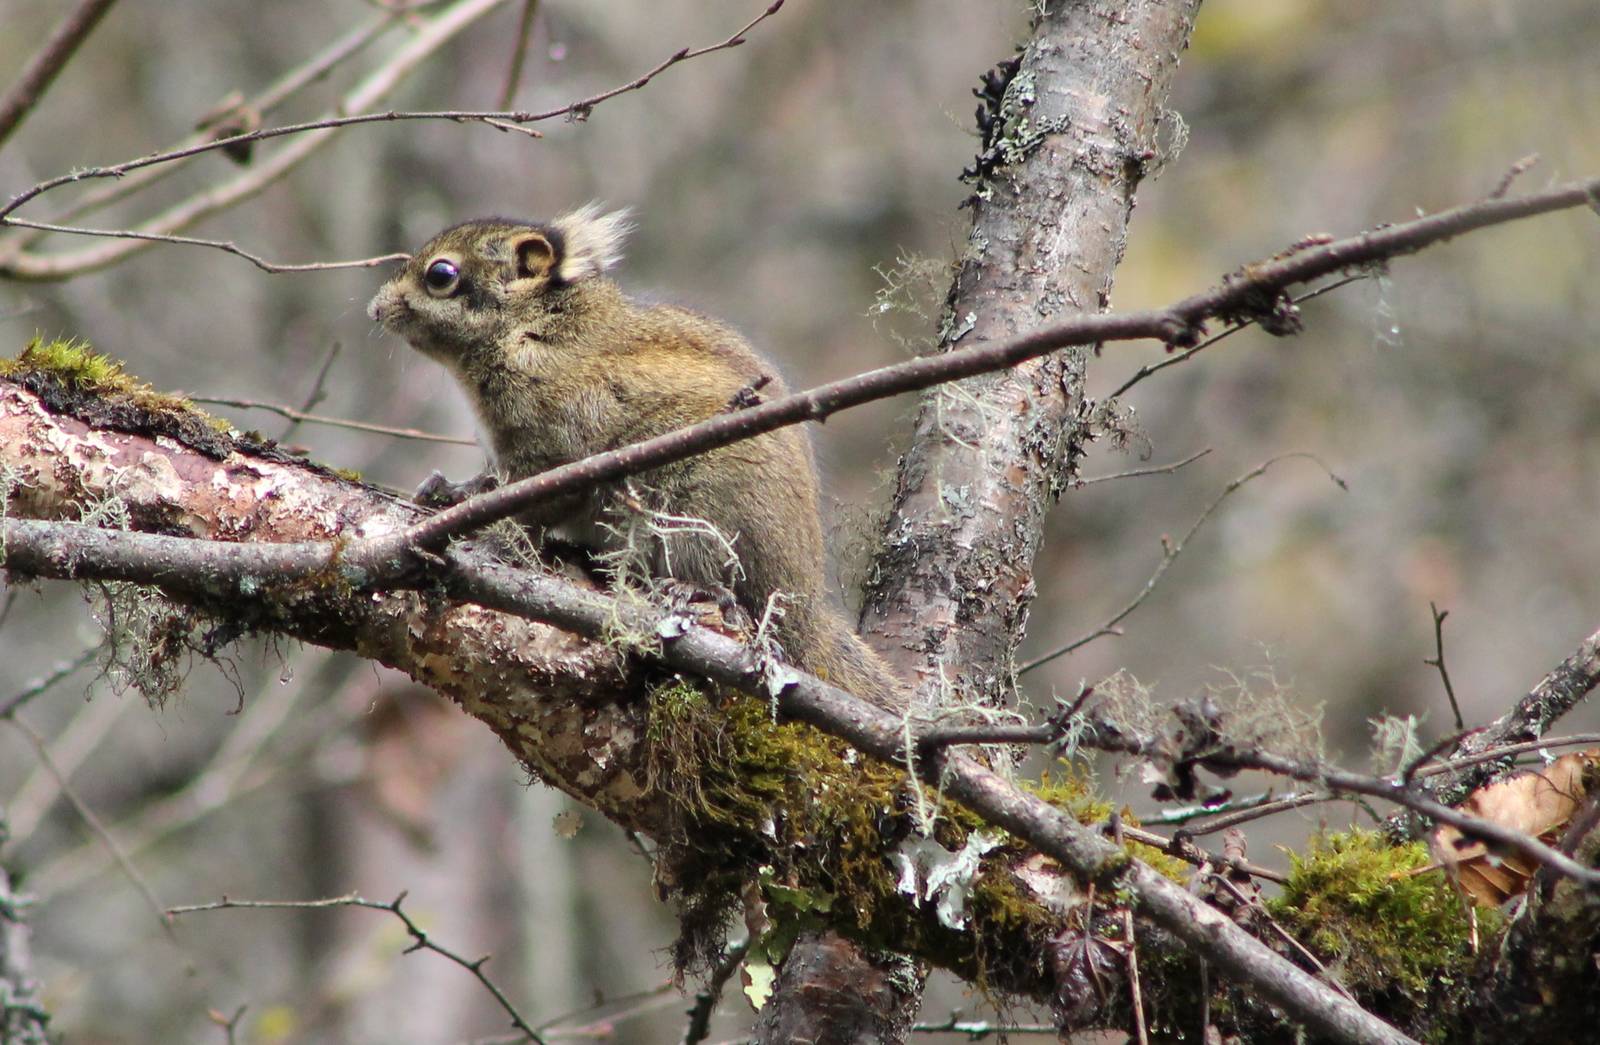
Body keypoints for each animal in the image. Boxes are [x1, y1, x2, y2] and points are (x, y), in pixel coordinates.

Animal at [368, 204, 903, 709]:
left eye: (441, 275)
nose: (375, 309)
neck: (530, 326)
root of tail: (803, 598)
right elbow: (489, 484)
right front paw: (449, 492)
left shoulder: (555, 450)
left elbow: (530, 505)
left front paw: (493, 537)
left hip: (705, 511)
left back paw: (693, 589)